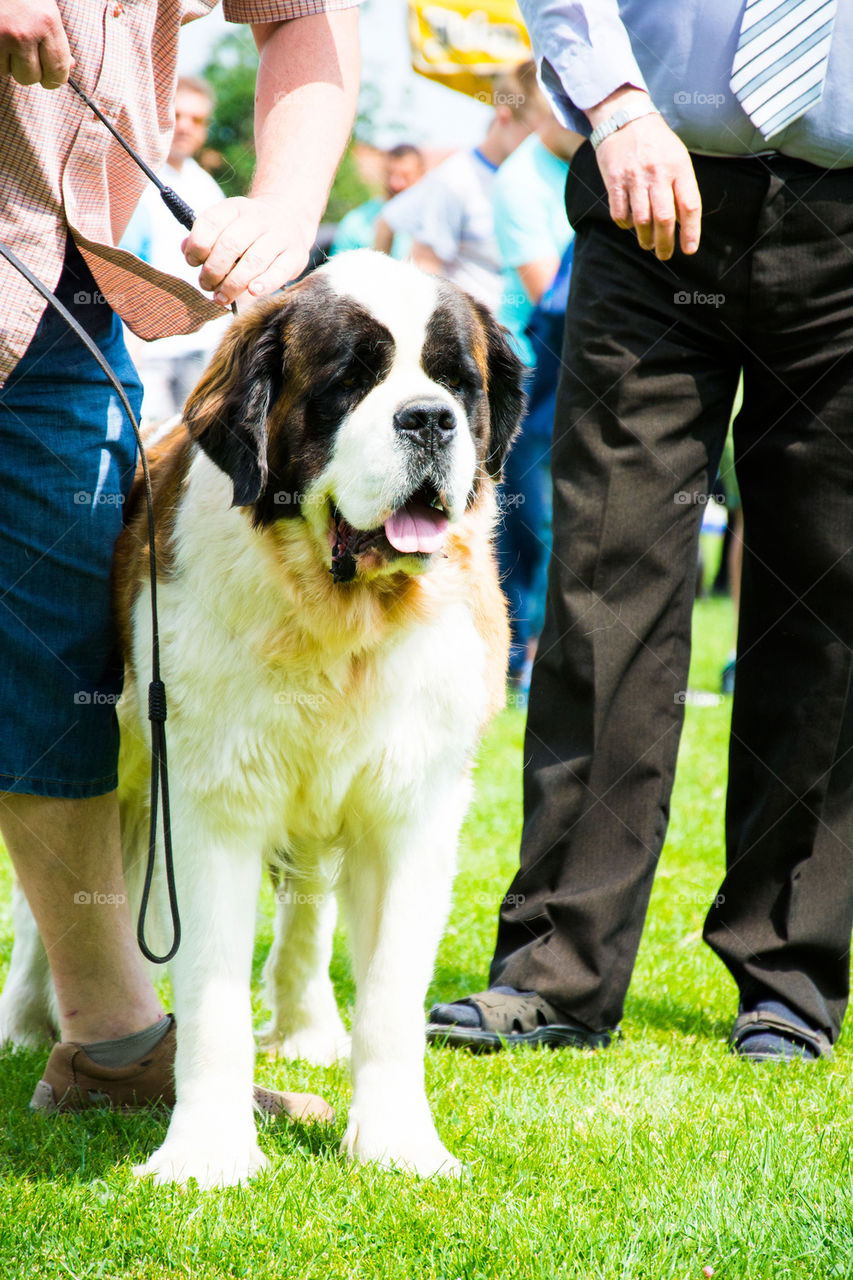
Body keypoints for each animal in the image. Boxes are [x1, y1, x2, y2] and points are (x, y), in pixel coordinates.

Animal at [0, 249, 522, 1187]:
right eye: (349, 382)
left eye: (457, 383)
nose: (428, 420)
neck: (339, 611)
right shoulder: (210, 798)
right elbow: (210, 991)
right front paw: (206, 1156)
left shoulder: (413, 806)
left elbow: (390, 991)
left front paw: (397, 1144)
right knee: (45, 893)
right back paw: (27, 1021)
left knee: (307, 906)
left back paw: (310, 1028)